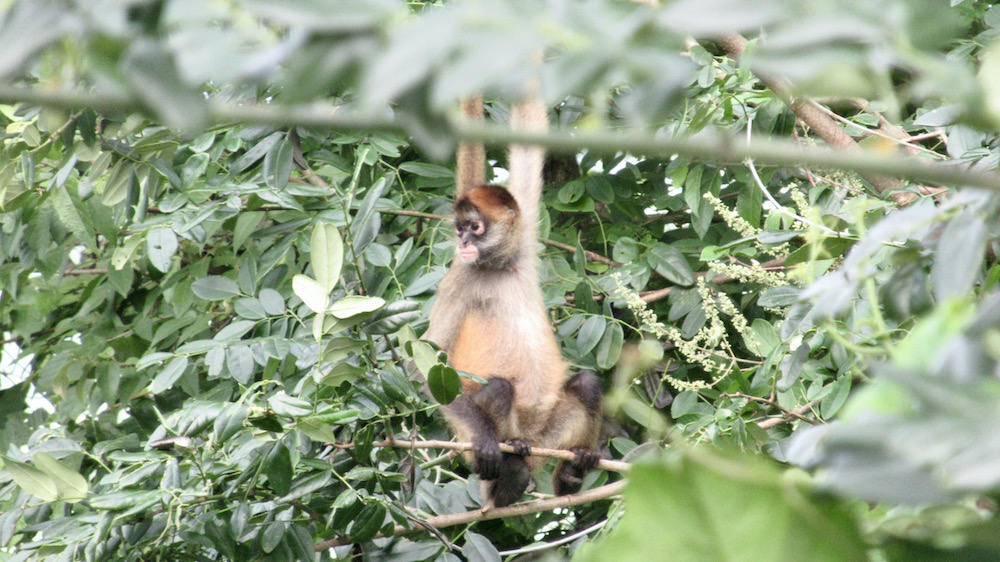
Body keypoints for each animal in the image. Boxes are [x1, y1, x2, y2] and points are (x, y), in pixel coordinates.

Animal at [420, 96, 603, 507]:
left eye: (475, 227)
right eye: (460, 229)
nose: (463, 242)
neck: (499, 267)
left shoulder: (526, 236)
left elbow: (529, 128)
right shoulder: (460, 276)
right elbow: (425, 359)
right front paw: (488, 441)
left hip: (548, 436)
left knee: (587, 384)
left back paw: (572, 470)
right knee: (501, 388)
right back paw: (507, 476)